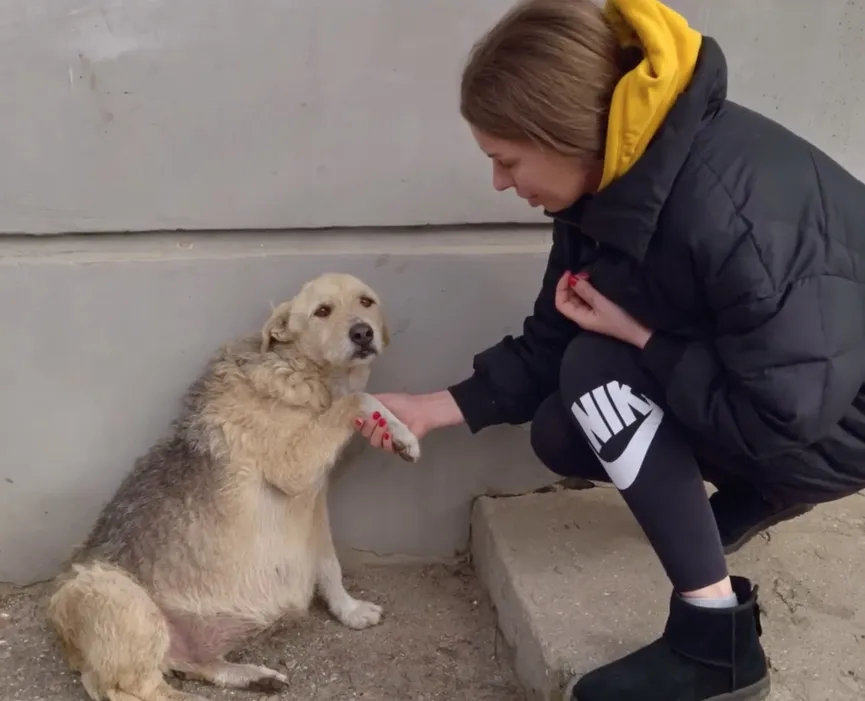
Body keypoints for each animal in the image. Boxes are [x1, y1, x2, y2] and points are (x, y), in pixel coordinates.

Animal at [47, 272, 422, 700]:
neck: (299, 369)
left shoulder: (314, 504)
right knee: (135, 689)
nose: (362, 333)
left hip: (182, 641)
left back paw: (250, 675)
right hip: (116, 595)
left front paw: (349, 610)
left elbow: (329, 565)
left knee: (192, 664)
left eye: (366, 301)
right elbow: (360, 399)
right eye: (322, 311)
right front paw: (403, 431)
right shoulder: (293, 468)